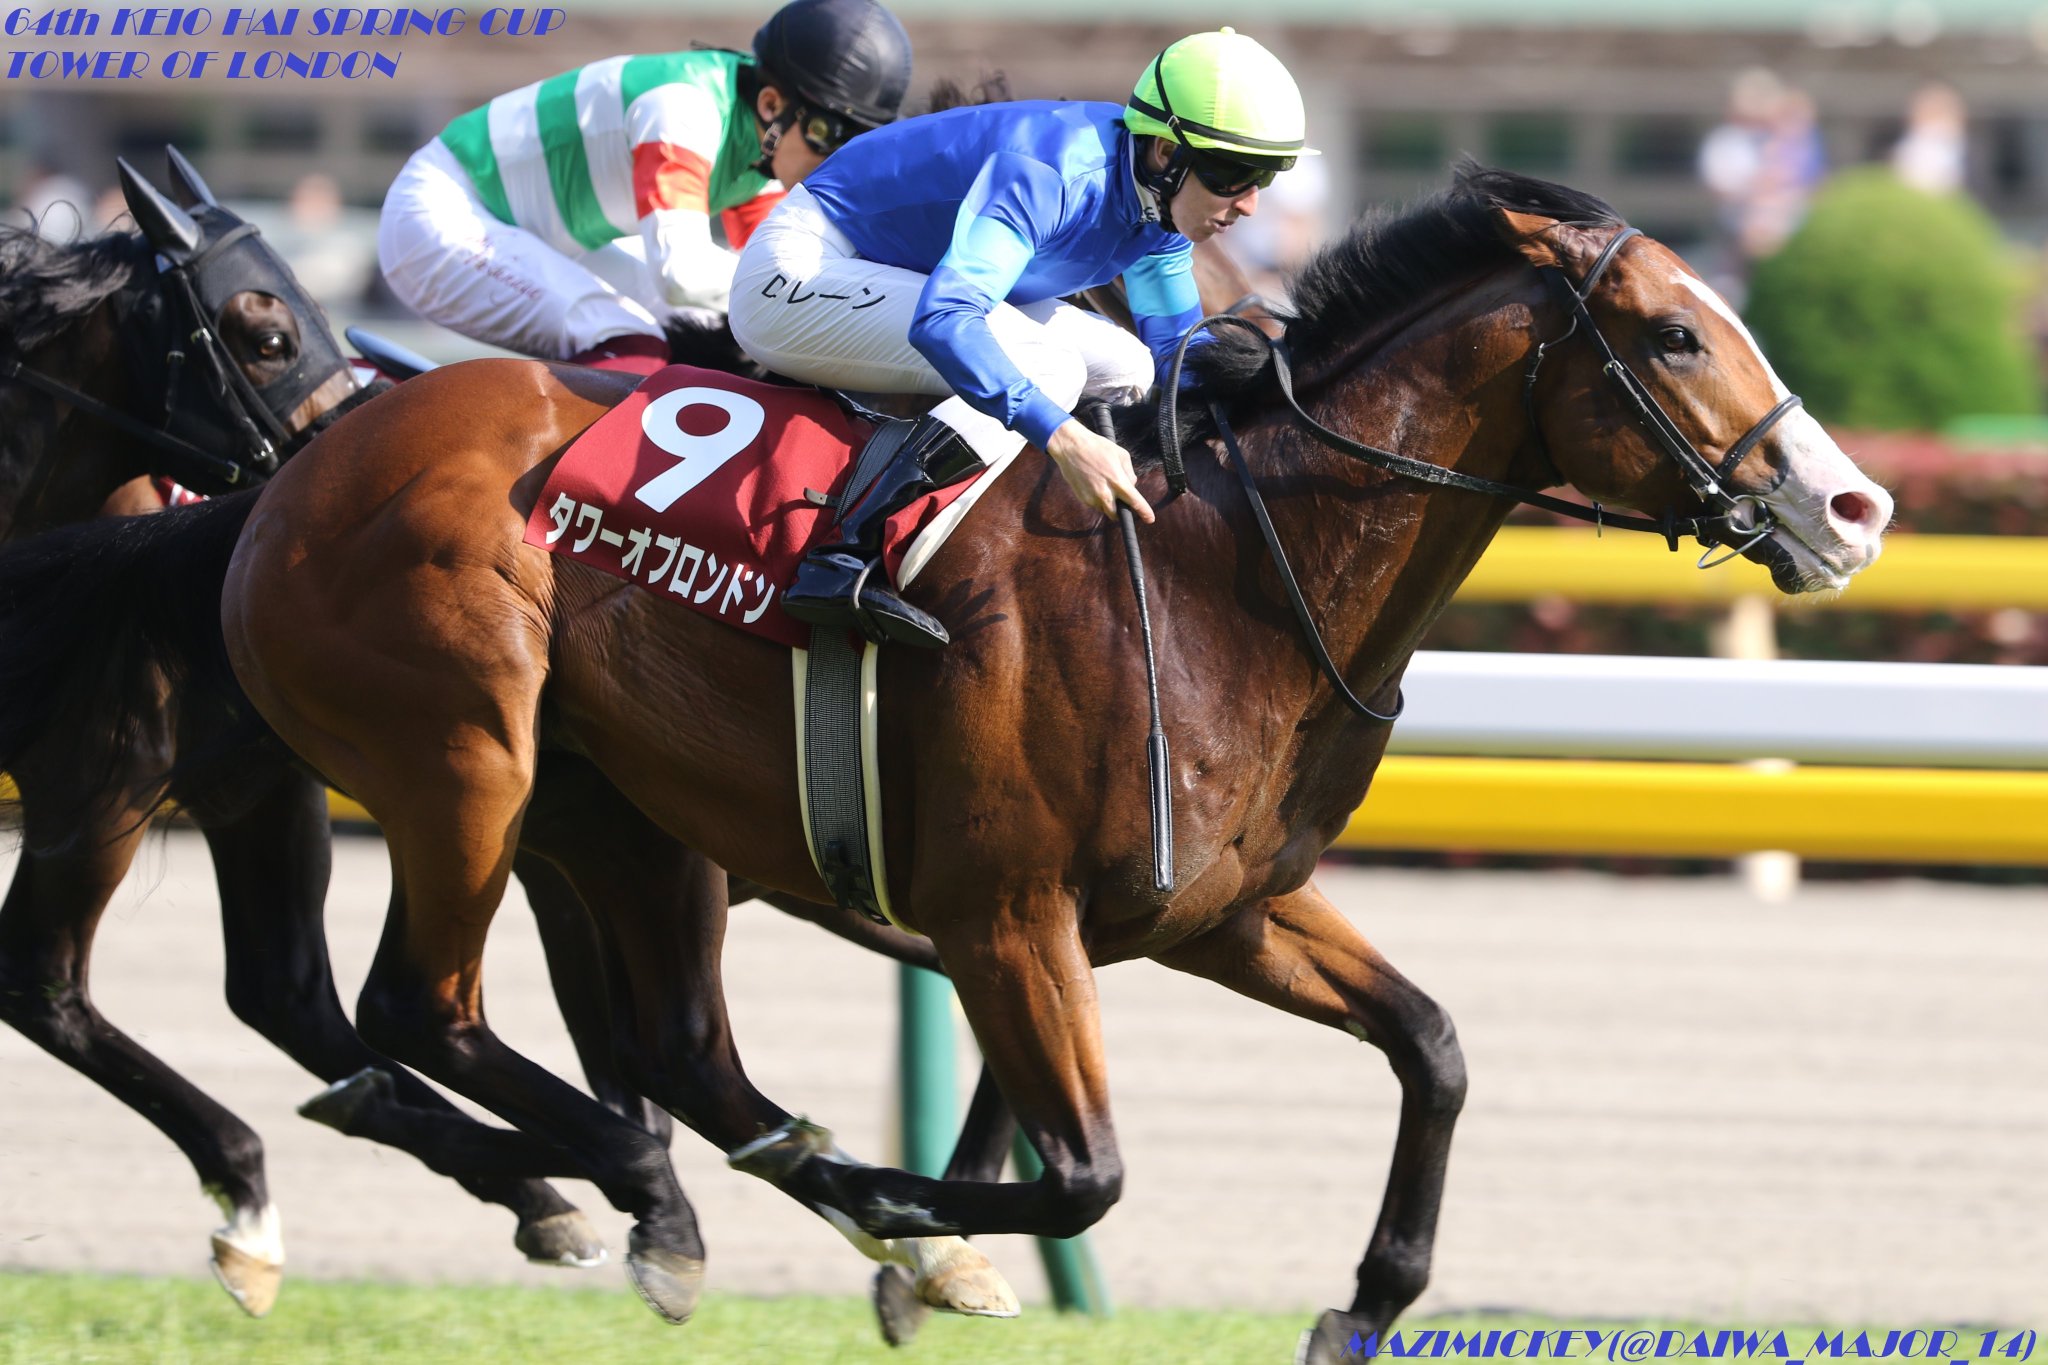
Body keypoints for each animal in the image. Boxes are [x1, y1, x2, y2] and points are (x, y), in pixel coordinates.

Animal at [0, 162, 1884, 1358]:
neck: (1222, 570)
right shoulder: (1005, 921)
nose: (1851, 505)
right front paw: (925, 1241)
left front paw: (1361, 1301)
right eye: (1674, 336)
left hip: (621, 812)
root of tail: (288, 477)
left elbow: (1431, 1047)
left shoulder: (1215, 909)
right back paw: (610, 1187)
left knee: (660, 1049)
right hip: (465, 755)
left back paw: (667, 1192)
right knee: (418, 1010)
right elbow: (1085, 1175)